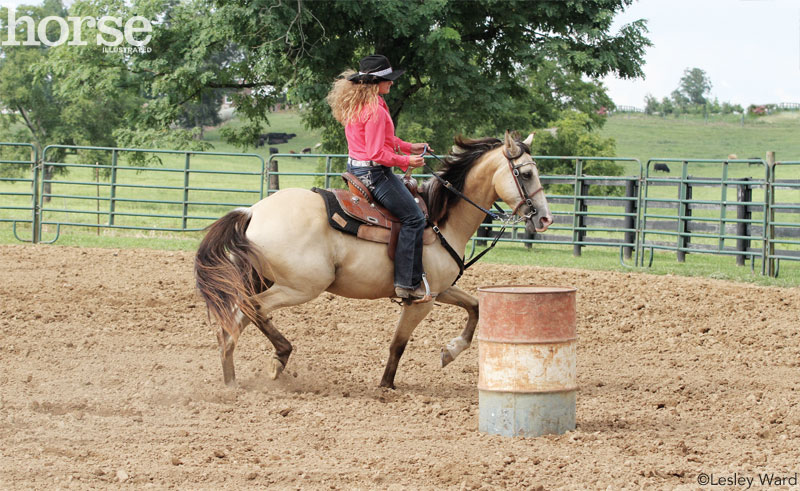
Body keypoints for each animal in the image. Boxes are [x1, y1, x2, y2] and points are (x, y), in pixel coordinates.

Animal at [196, 130, 552, 388]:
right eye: (526, 173)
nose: (545, 219)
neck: (441, 219)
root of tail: (253, 211)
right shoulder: (420, 301)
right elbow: (398, 343)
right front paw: (386, 386)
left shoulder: (438, 290)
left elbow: (475, 307)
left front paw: (449, 353)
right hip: (300, 286)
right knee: (252, 309)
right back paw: (279, 357)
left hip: (262, 279)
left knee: (234, 320)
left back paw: (230, 381)